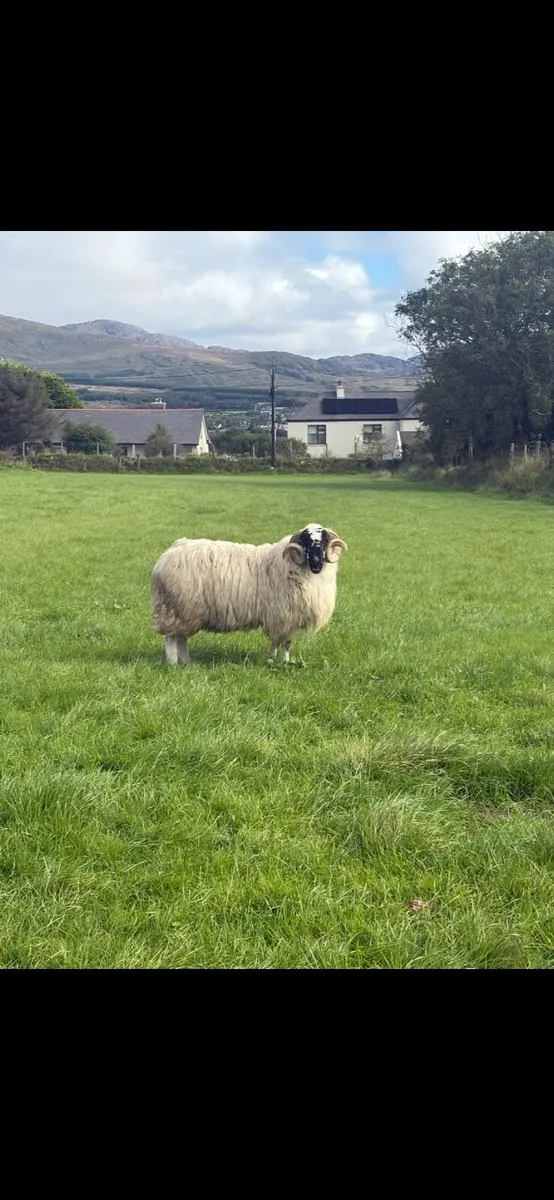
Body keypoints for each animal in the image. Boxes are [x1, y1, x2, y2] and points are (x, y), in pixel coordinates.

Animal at [151, 522, 348, 667]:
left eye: (324, 541)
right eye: (305, 541)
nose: (316, 564)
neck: (289, 564)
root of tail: (166, 556)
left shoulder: (285, 616)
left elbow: (284, 642)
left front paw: (281, 661)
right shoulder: (282, 615)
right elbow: (281, 641)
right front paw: (276, 661)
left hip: (186, 612)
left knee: (181, 638)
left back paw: (186, 661)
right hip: (176, 608)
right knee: (171, 638)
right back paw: (173, 663)